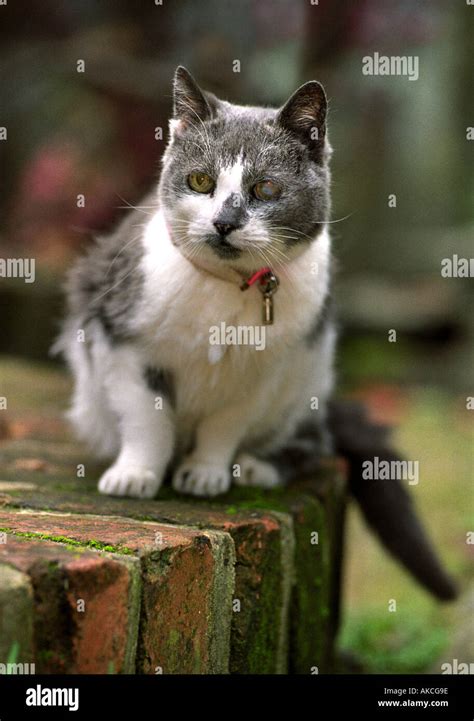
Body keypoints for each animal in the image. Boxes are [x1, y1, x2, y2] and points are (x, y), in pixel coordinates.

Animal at [57, 64, 336, 498]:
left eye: (266, 188)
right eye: (201, 181)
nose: (224, 222)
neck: (227, 284)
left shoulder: (262, 371)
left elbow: (223, 426)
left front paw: (205, 473)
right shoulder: (123, 342)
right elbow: (146, 420)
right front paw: (135, 475)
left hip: (309, 382)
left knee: (316, 442)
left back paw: (256, 468)